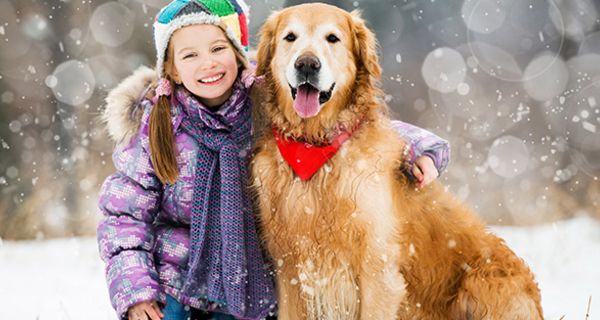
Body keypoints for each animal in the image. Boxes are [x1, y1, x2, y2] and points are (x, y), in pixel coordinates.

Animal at [250, 3, 544, 320]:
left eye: (333, 38)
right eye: (290, 37)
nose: (306, 64)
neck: (314, 146)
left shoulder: (378, 271)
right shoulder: (289, 270)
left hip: (486, 280)